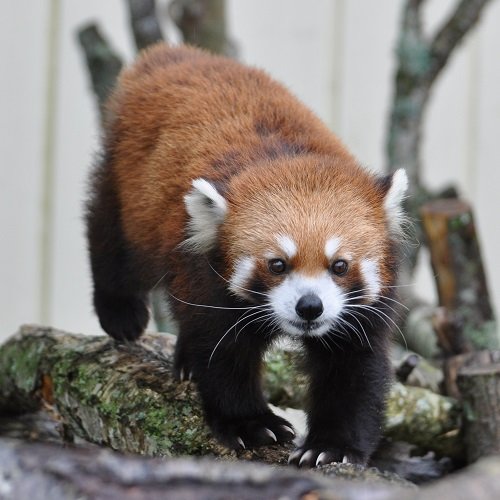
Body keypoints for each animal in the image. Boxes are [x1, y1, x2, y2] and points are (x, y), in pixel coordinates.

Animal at [87, 44, 406, 468]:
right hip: (129, 184)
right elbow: (223, 353)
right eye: (277, 264)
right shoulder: (208, 281)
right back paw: (120, 313)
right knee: (112, 240)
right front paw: (251, 425)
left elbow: (353, 368)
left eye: (339, 265)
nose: (310, 307)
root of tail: (178, 54)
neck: (286, 159)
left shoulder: (362, 311)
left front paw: (331, 446)